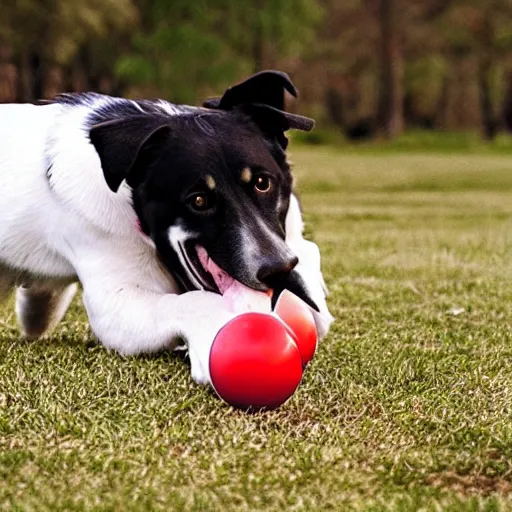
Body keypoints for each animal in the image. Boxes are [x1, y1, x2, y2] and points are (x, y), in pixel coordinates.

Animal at [0, 71, 334, 384]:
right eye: (198, 200)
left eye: (262, 183)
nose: (278, 272)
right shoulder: (116, 301)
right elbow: (193, 301)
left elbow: (308, 254)